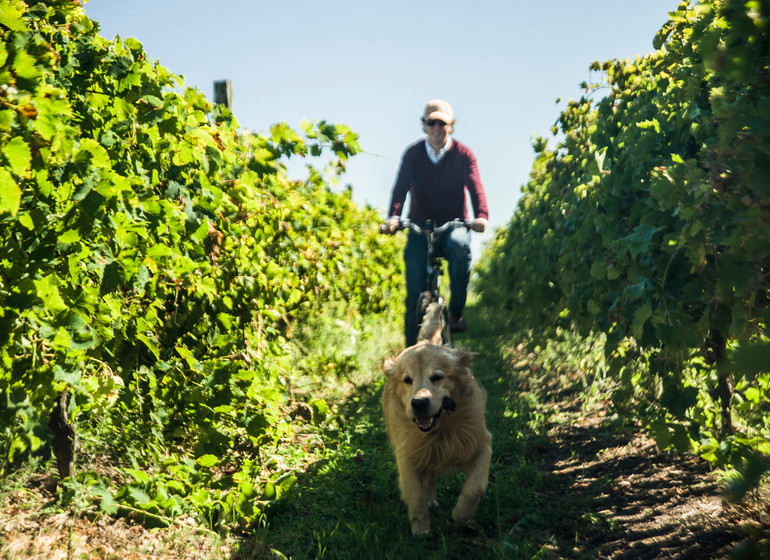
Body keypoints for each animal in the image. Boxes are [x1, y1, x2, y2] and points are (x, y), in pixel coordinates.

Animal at [380, 342, 492, 532]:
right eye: (407, 380)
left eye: (437, 377)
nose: (418, 403)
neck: (441, 428)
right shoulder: (408, 456)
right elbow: (416, 496)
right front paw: (421, 529)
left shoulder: (481, 444)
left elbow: (474, 488)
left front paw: (461, 516)